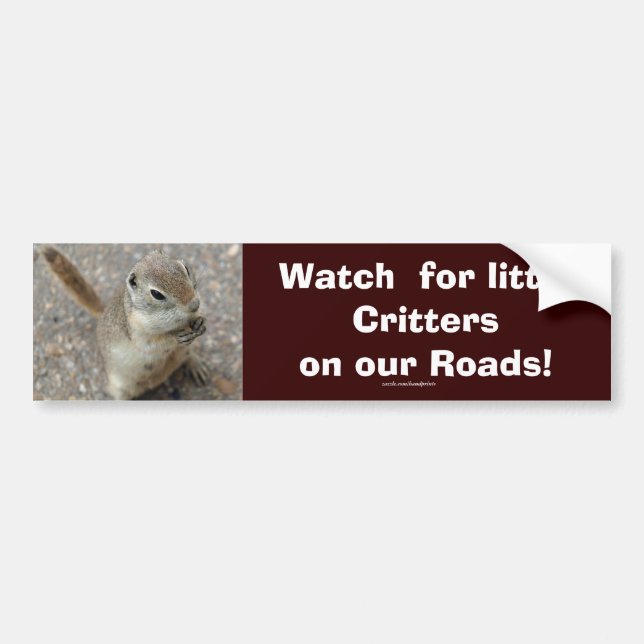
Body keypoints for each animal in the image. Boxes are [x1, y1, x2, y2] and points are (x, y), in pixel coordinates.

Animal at [41, 246, 208, 399]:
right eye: (156, 294)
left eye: (185, 268)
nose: (194, 304)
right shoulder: (138, 331)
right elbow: (154, 344)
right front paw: (176, 336)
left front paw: (201, 323)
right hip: (121, 387)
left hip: (184, 352)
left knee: (187, 355)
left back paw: (197, 366)